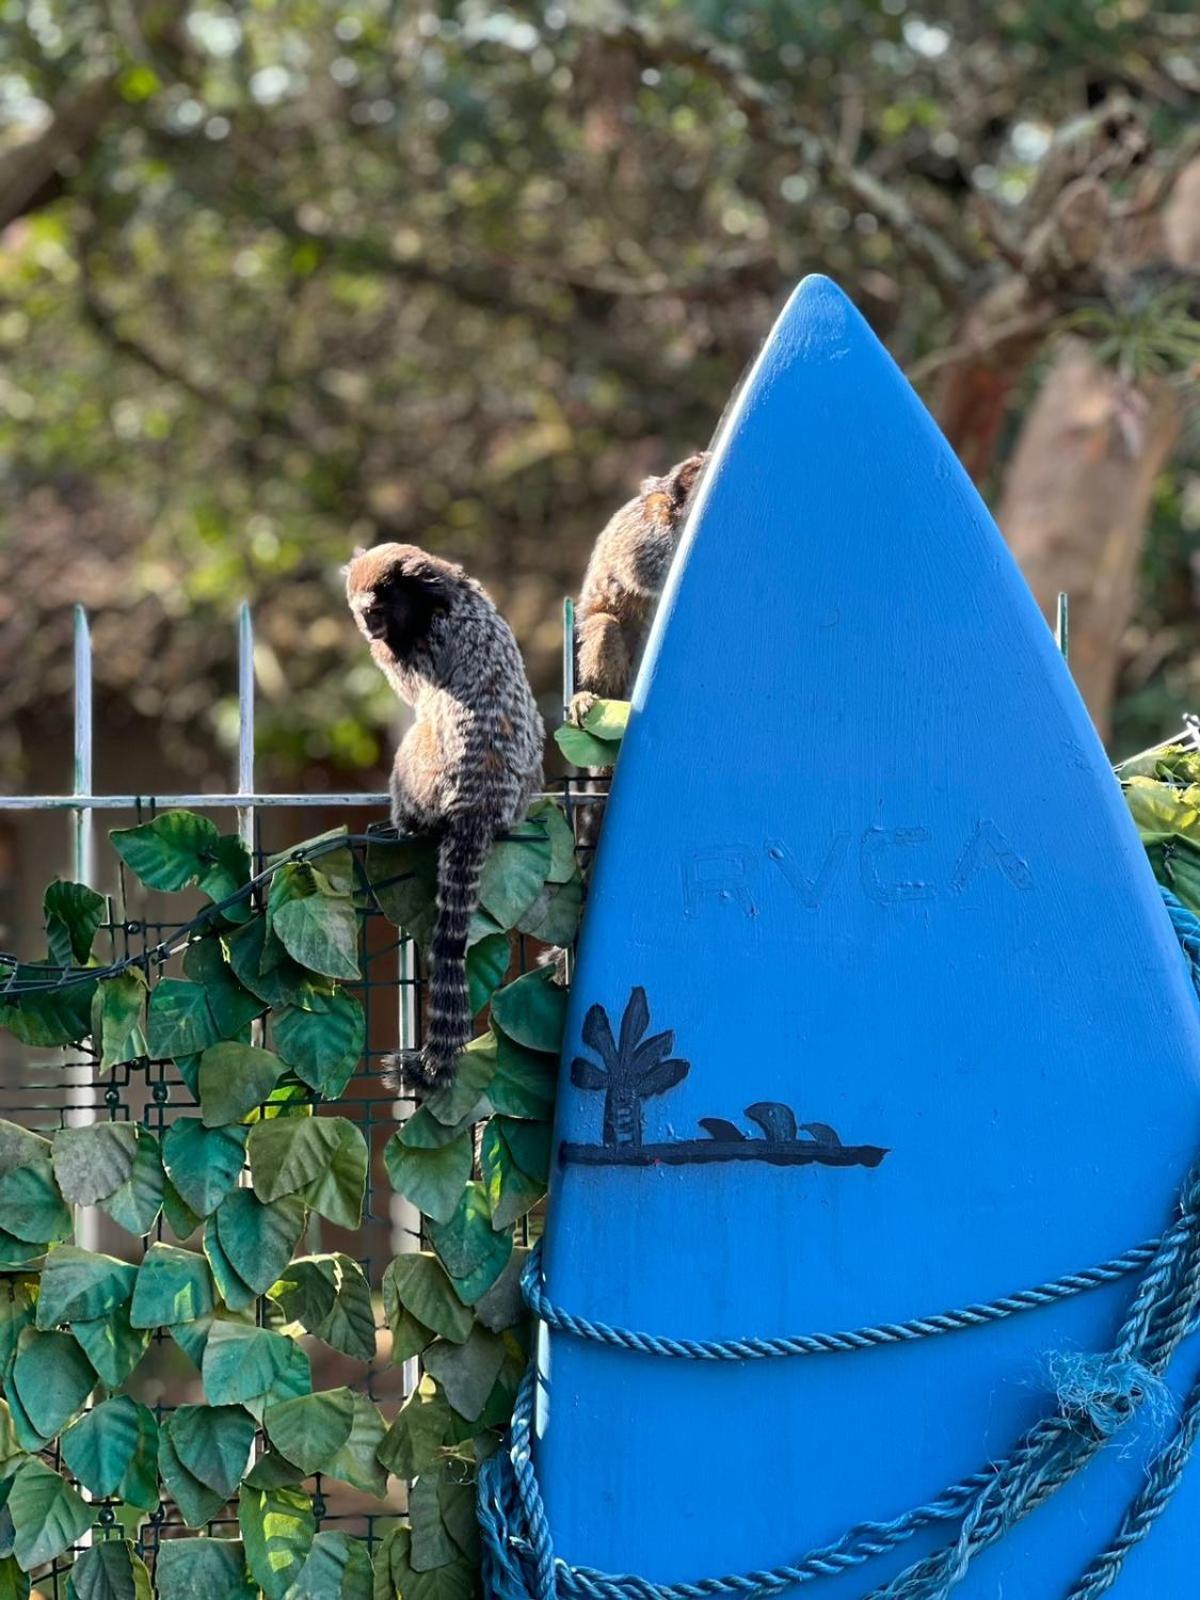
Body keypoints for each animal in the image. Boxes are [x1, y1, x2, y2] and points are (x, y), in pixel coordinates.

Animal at [347, 544, 544, 1094]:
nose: (368, 628)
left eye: (376, 609)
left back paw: (404, 821)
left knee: (416, 738)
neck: (439, 597)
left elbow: (411, 688)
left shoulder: (423, 647)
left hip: (428, 775)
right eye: (362, 611)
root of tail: (479, 806)